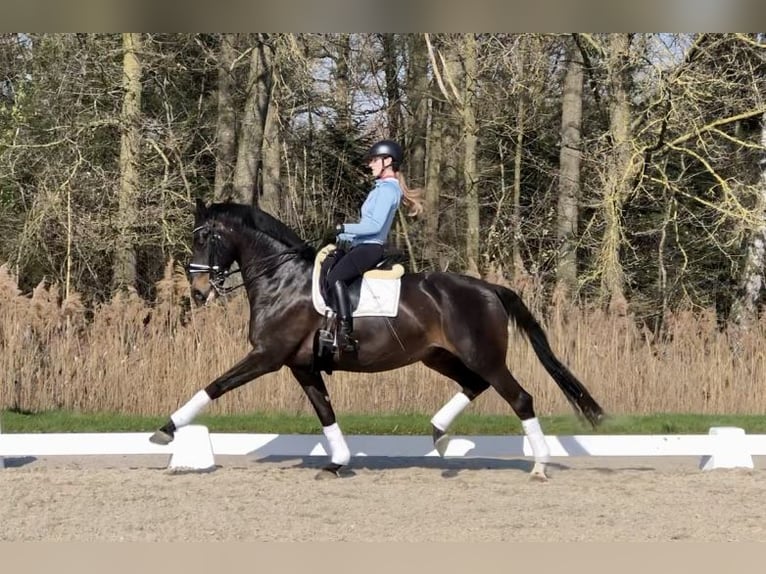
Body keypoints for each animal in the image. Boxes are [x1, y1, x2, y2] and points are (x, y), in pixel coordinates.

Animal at [149, 199, 605, 480]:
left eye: (204, 237)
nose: (198, 291)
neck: (282, 279)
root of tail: (489, 288)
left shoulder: (267, 355)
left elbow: (215, 385)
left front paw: (166, 430)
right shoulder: (301, 365)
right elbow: (325, 413)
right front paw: (337, 462)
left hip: (485, 357)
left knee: (520, 398)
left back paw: (539, 465)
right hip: (439, 356)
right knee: (473, 385)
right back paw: (439, 435)